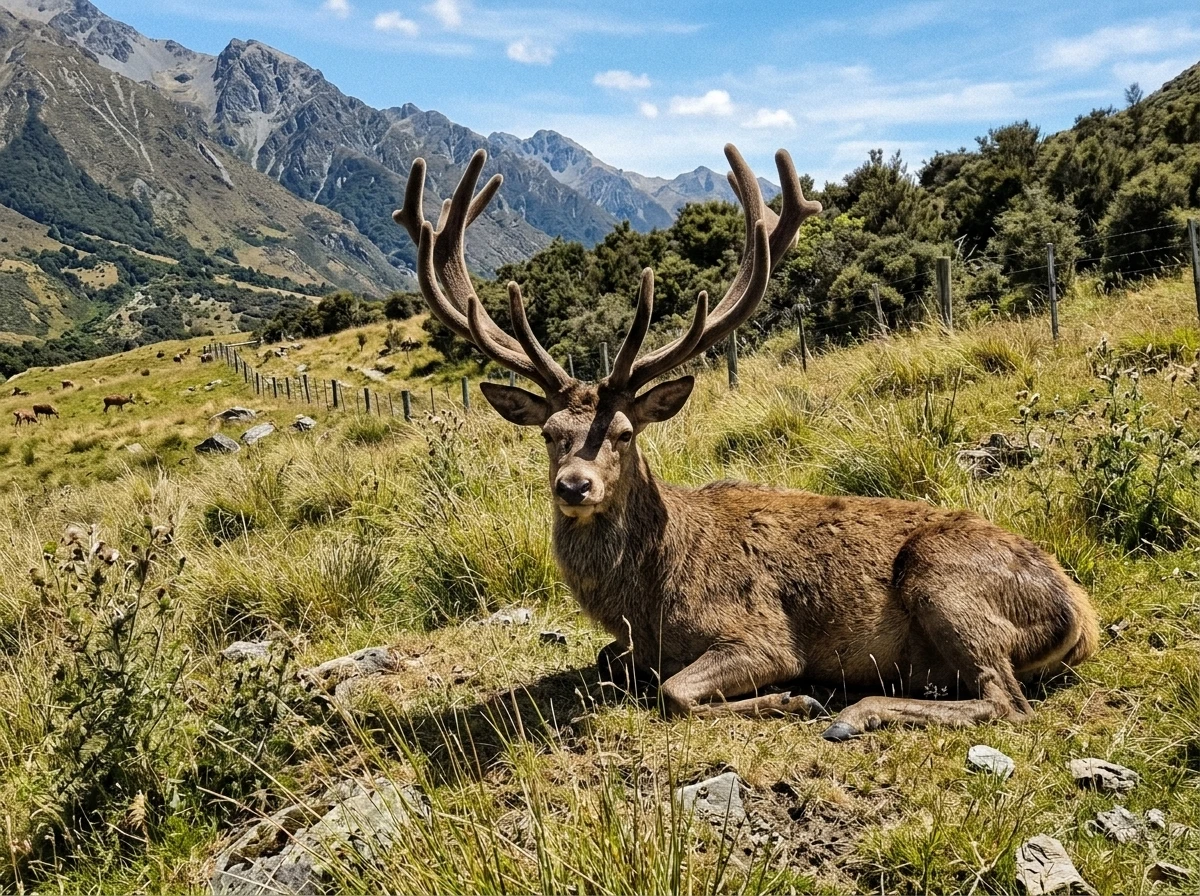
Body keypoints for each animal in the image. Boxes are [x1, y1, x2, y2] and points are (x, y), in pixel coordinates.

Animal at [392, 146, 1099, 740]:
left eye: (623, 433)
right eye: (549, 434)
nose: (574, 485)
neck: (647, 600)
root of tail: (1080, 614)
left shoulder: (762, 633)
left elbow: (673, 692)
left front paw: (794, 697)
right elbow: (607, 662)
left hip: (945, 581)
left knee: (1005, 701)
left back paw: (854, 711)